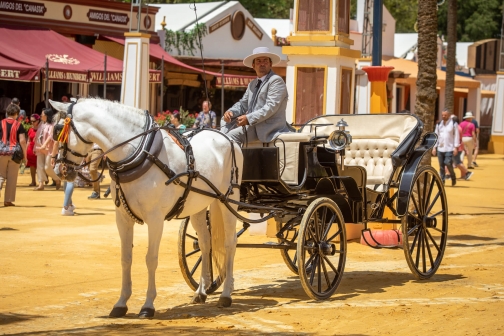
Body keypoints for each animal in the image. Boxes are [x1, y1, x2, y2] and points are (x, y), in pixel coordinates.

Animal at [50, 99, 243, 318]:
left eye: (58, 130)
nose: (59, 170)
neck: (141, 153)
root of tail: (228, 138)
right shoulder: (122, 218)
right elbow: (126, 258)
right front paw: (121, 303)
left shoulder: (155, 219)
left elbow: (151, 259)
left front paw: (148, 305)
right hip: (199, 206)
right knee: (205, 244)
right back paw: (201, 292)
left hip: (228, 201)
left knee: (230, 243)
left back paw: (226, 294)